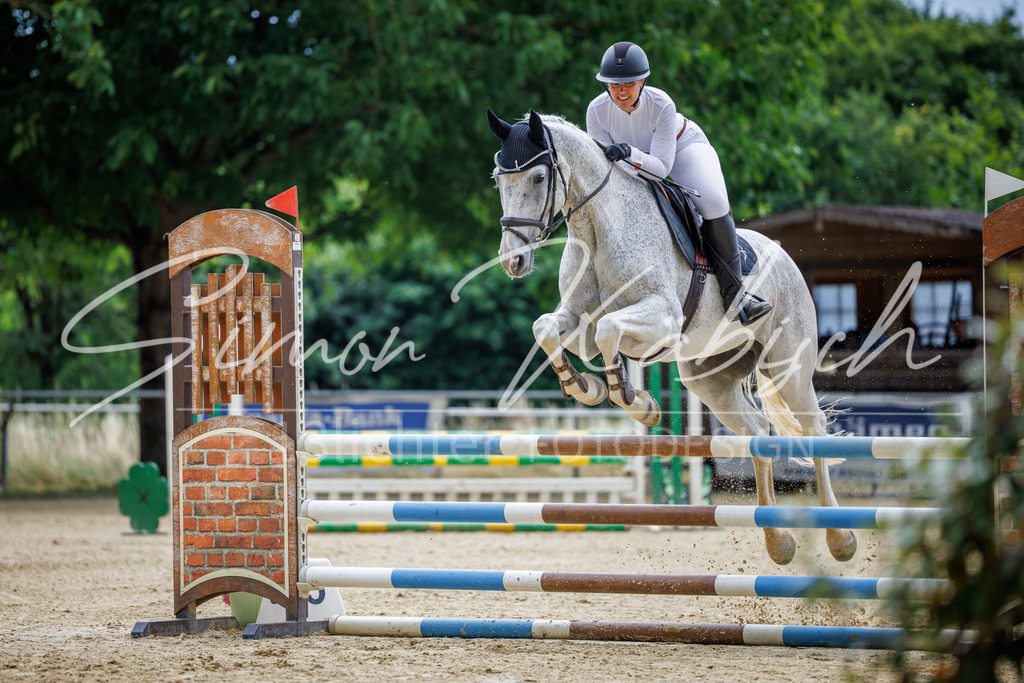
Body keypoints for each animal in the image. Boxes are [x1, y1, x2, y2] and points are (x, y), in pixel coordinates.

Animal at [486, 109, 856, 565]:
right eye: (499, 180)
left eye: (539, 178)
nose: (513, 261)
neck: (597, 230)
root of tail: (784, 256)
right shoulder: (578, 320)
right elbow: (548, 329)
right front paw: (586, 387)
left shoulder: (661, 318)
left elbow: (609, 332)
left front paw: (637, 403)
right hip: (708, 379)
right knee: (757, 430)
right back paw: (778, 542)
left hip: (789, 366)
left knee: (814, 427)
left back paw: (840, 537)